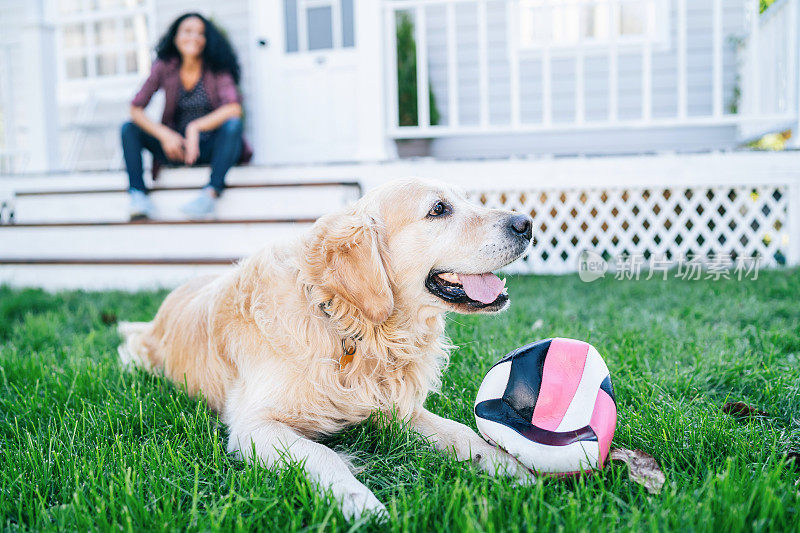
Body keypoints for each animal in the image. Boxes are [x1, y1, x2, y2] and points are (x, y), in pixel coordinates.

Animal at [117, 177, 532, 516]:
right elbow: (323, 455)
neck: (347, 323)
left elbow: (461, 433)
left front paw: (513, 468)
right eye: (439, 209)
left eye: (465, 198)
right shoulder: (255, 426)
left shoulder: (395, 409)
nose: (525, 224)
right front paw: (361, 504)